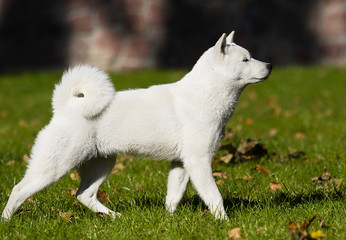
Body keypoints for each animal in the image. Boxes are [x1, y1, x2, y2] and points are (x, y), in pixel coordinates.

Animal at [2, 31, 270, 221]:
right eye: (245, 59)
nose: (269, 66)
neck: (203, 95)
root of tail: (64, 106)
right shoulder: (198, 162)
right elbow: (214, 196)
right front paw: (224, 222)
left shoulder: (181, 164)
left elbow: (173, 196)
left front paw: (168, 220)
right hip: (55, 166)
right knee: (18, 190)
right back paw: (7, 222)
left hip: (102, 164)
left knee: (84, 195)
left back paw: (113, 216)